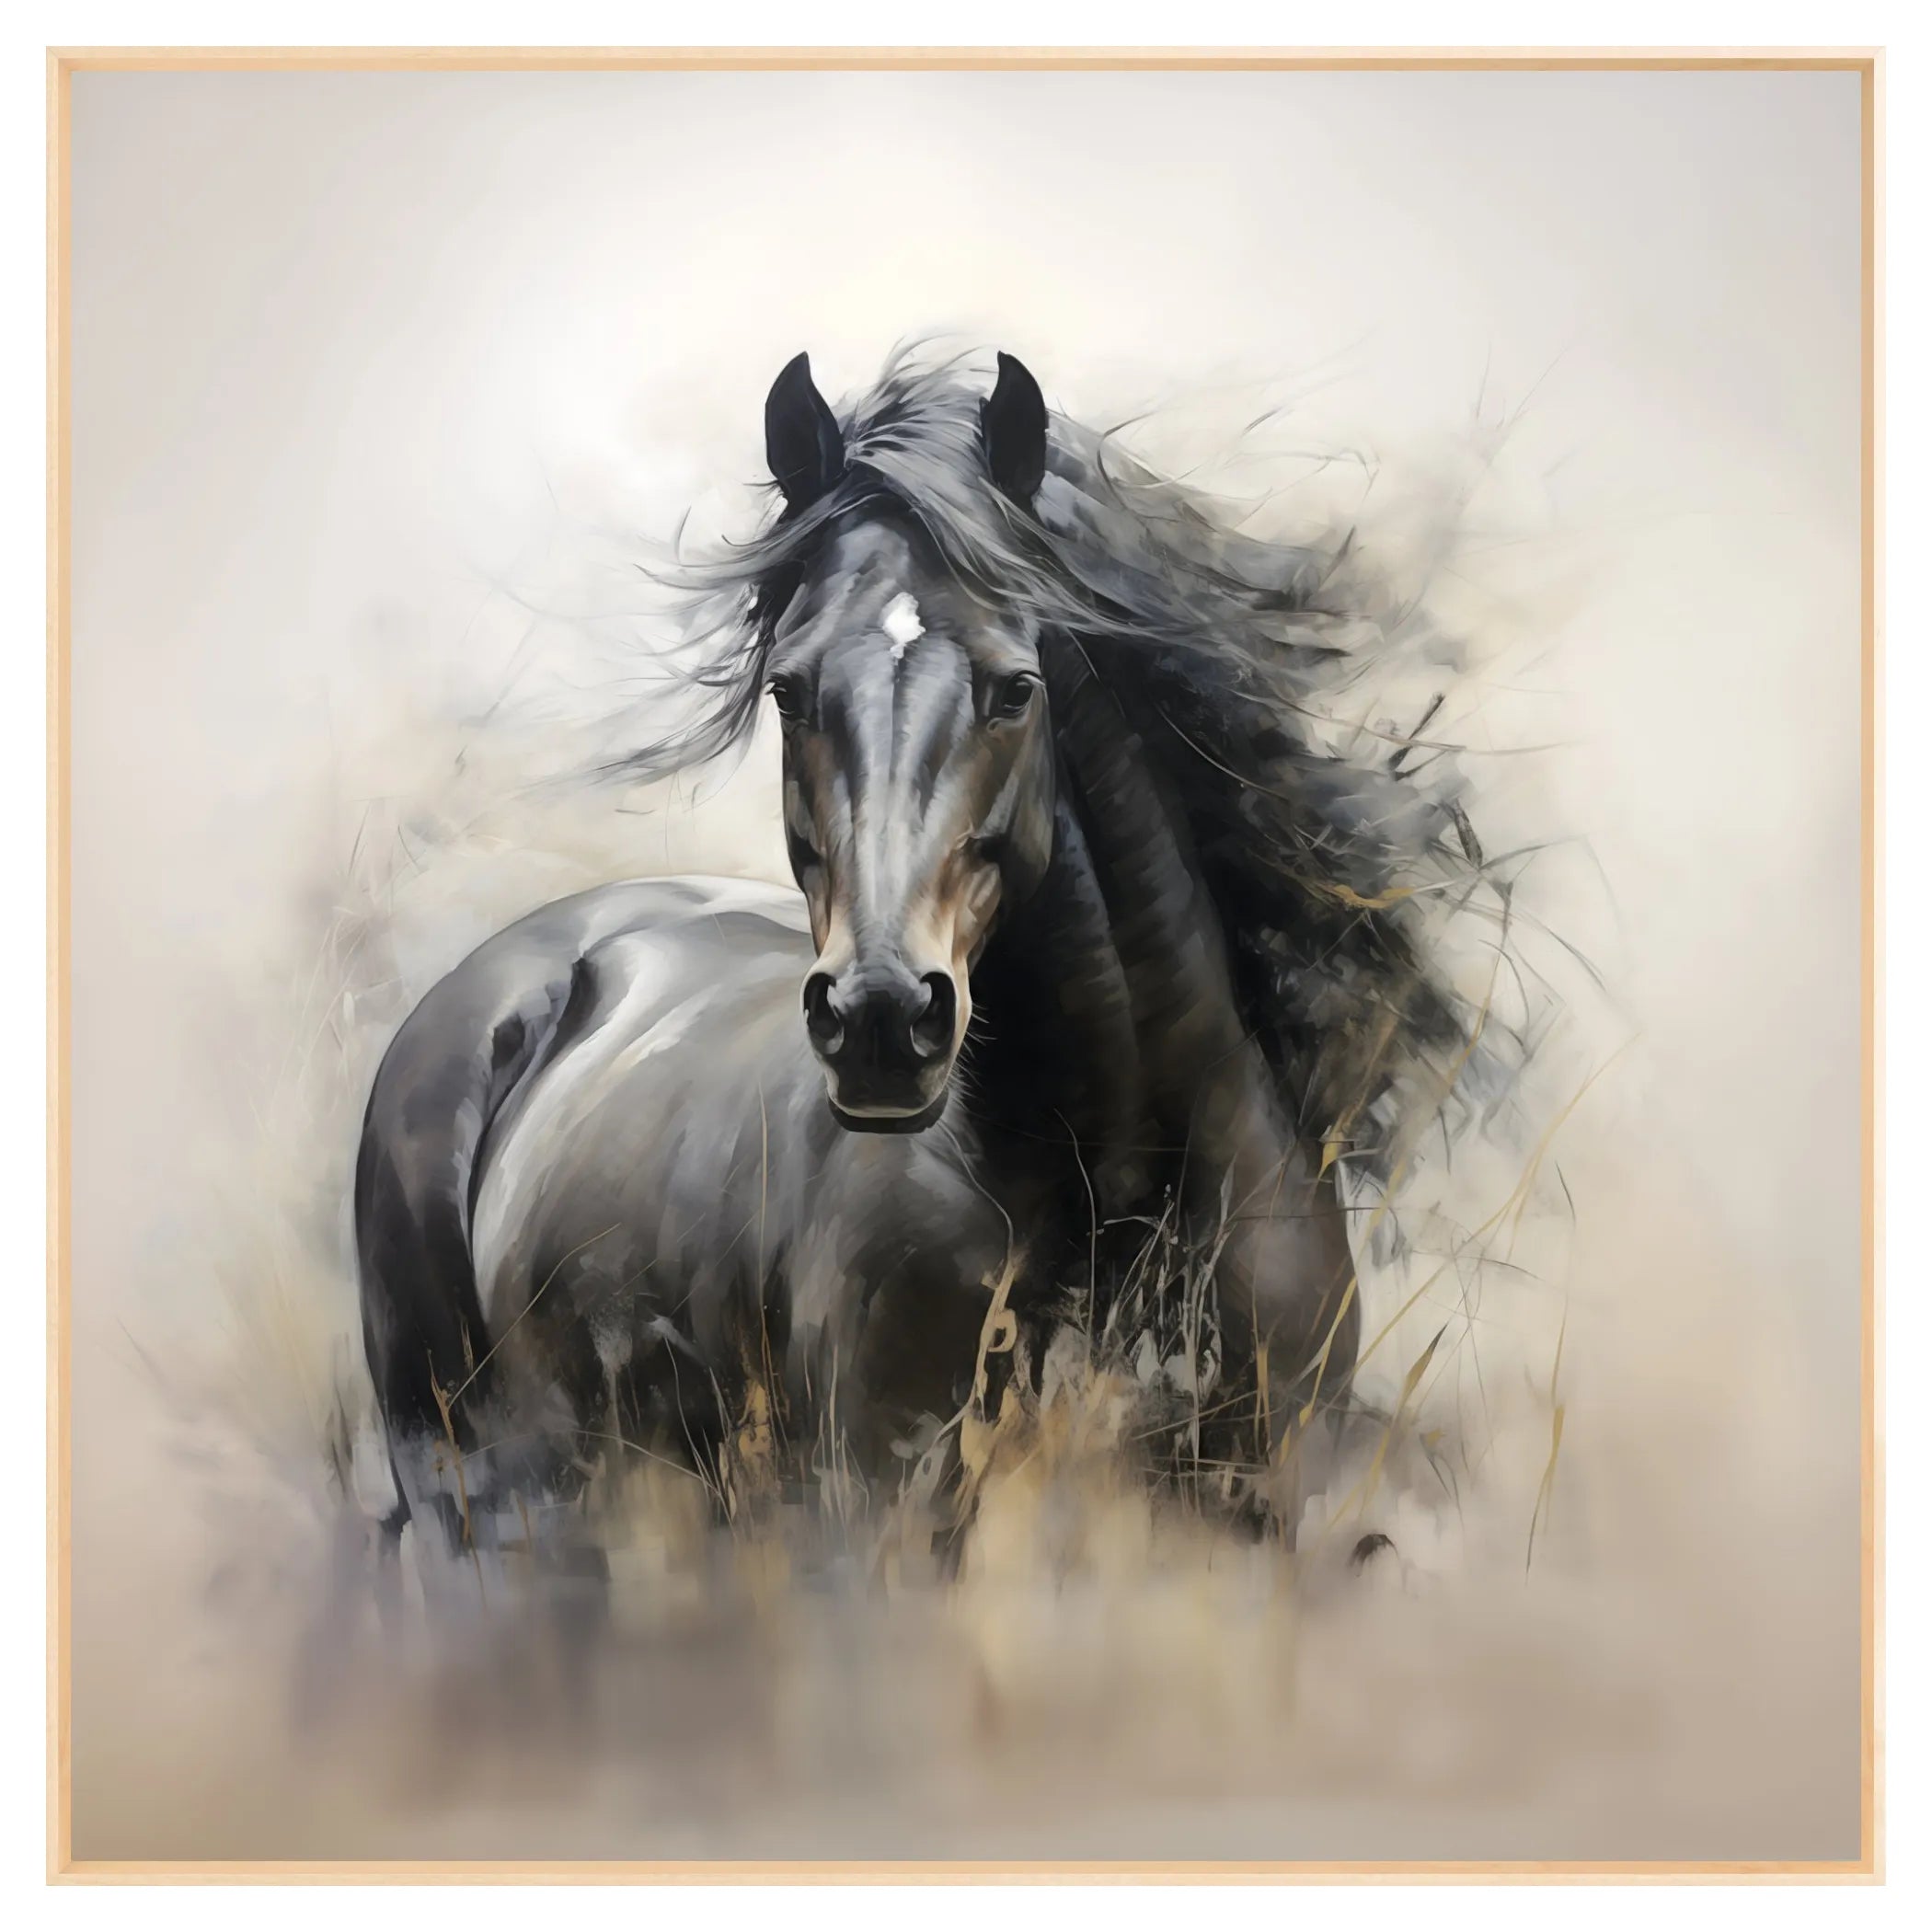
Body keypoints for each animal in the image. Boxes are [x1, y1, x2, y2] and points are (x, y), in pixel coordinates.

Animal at [354, 348, 1484, 1567]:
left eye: (1015, 687)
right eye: (790, 690)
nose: (883, 1023)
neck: (1107, 1193)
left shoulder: (1260, 1508)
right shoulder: (884, 1511)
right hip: (469, 1476)